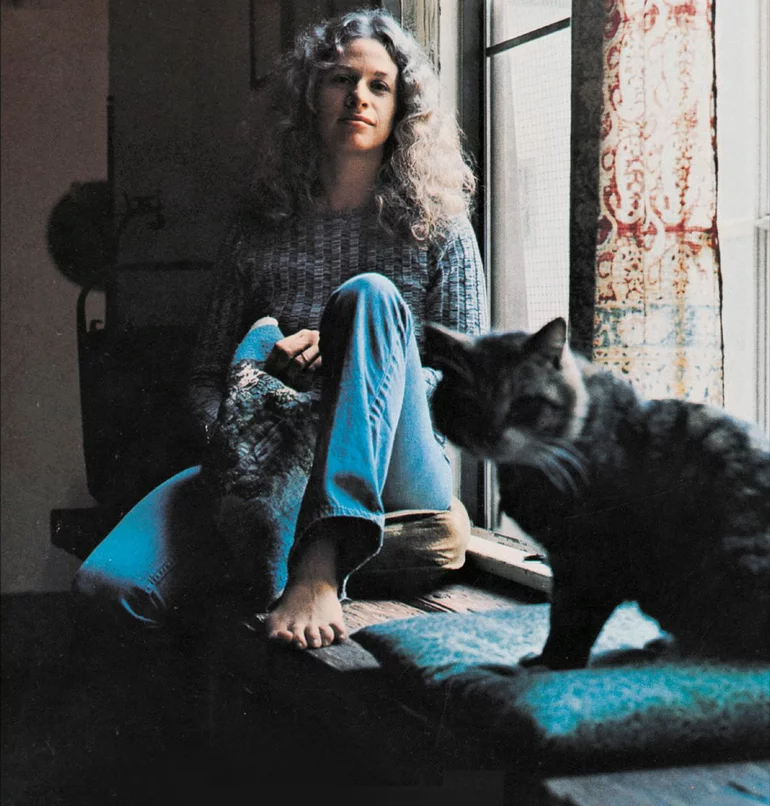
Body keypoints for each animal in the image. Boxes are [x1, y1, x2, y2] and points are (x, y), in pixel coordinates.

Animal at [425, 317, 770, 668]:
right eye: (467, 403)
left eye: (525, 403)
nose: (490, 434)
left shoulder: (590, 559)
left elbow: (569, 619)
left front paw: (554, 662)